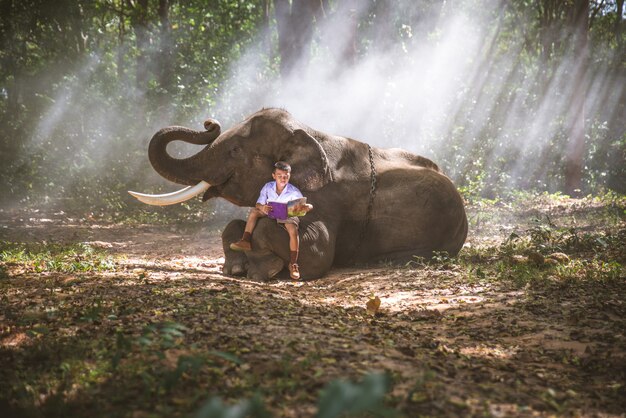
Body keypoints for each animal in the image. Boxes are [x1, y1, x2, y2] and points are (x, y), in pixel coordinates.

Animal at [129, 108, 466, 280]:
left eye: (235, 150)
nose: (209, 122)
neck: (308, 132)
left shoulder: (328, 198)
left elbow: (317, 253)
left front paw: (264, 269)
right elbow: (241, 224)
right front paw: (236, 267)